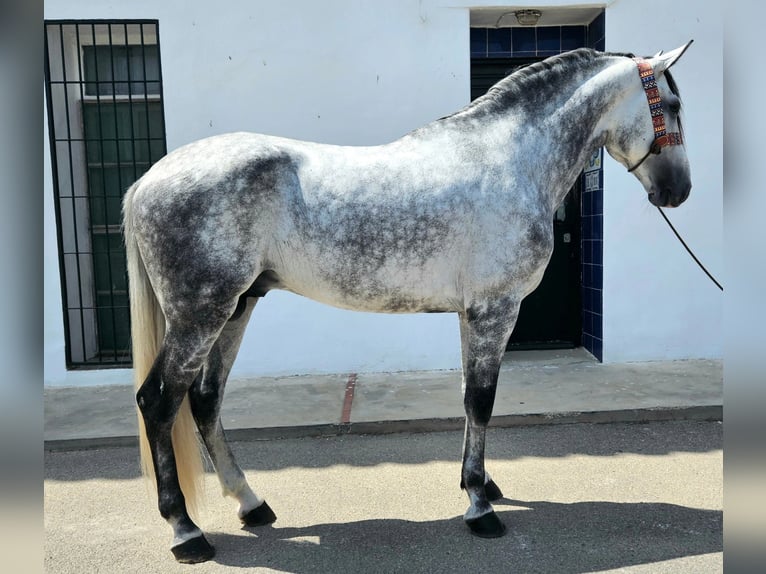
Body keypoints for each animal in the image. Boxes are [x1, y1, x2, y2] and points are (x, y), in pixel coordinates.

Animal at [124, 46, 696, 568]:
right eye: (671, 104)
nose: (680, 191)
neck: (510, 160)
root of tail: (149, 179)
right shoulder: (495, 310)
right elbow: (482, 400)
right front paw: (480, 507)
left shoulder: (472, 314)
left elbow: (468, 397)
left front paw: (482, 484)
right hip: (200, 314)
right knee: (159, 401)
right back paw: (187, 531)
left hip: (237, 306)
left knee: (205, 400)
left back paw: (251, 503)